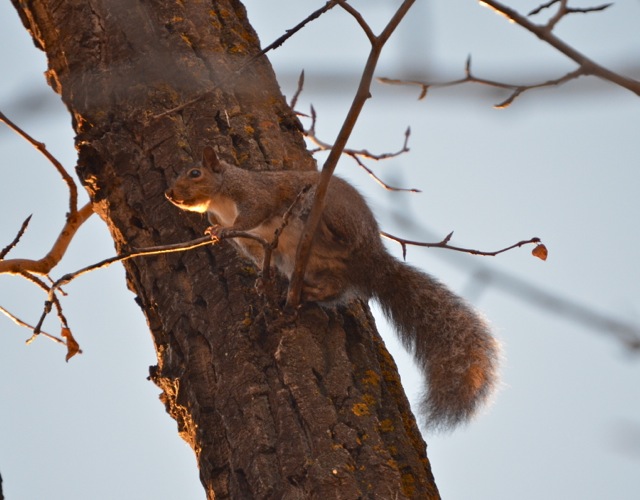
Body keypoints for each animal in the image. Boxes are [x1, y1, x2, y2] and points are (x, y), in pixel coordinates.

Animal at [165, 146, 499, 430]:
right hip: (309, 265)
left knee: (337, 234)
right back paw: (305, 292)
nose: (169, 193)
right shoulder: (250, 243)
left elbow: (254, 212)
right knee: (335, 287)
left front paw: (224, 230)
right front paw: (261, 279)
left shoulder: (254, 195)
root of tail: (372, 259)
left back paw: (323, 227)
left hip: (338, 215)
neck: (219, 201)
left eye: (195, 173)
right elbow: (260, 259)